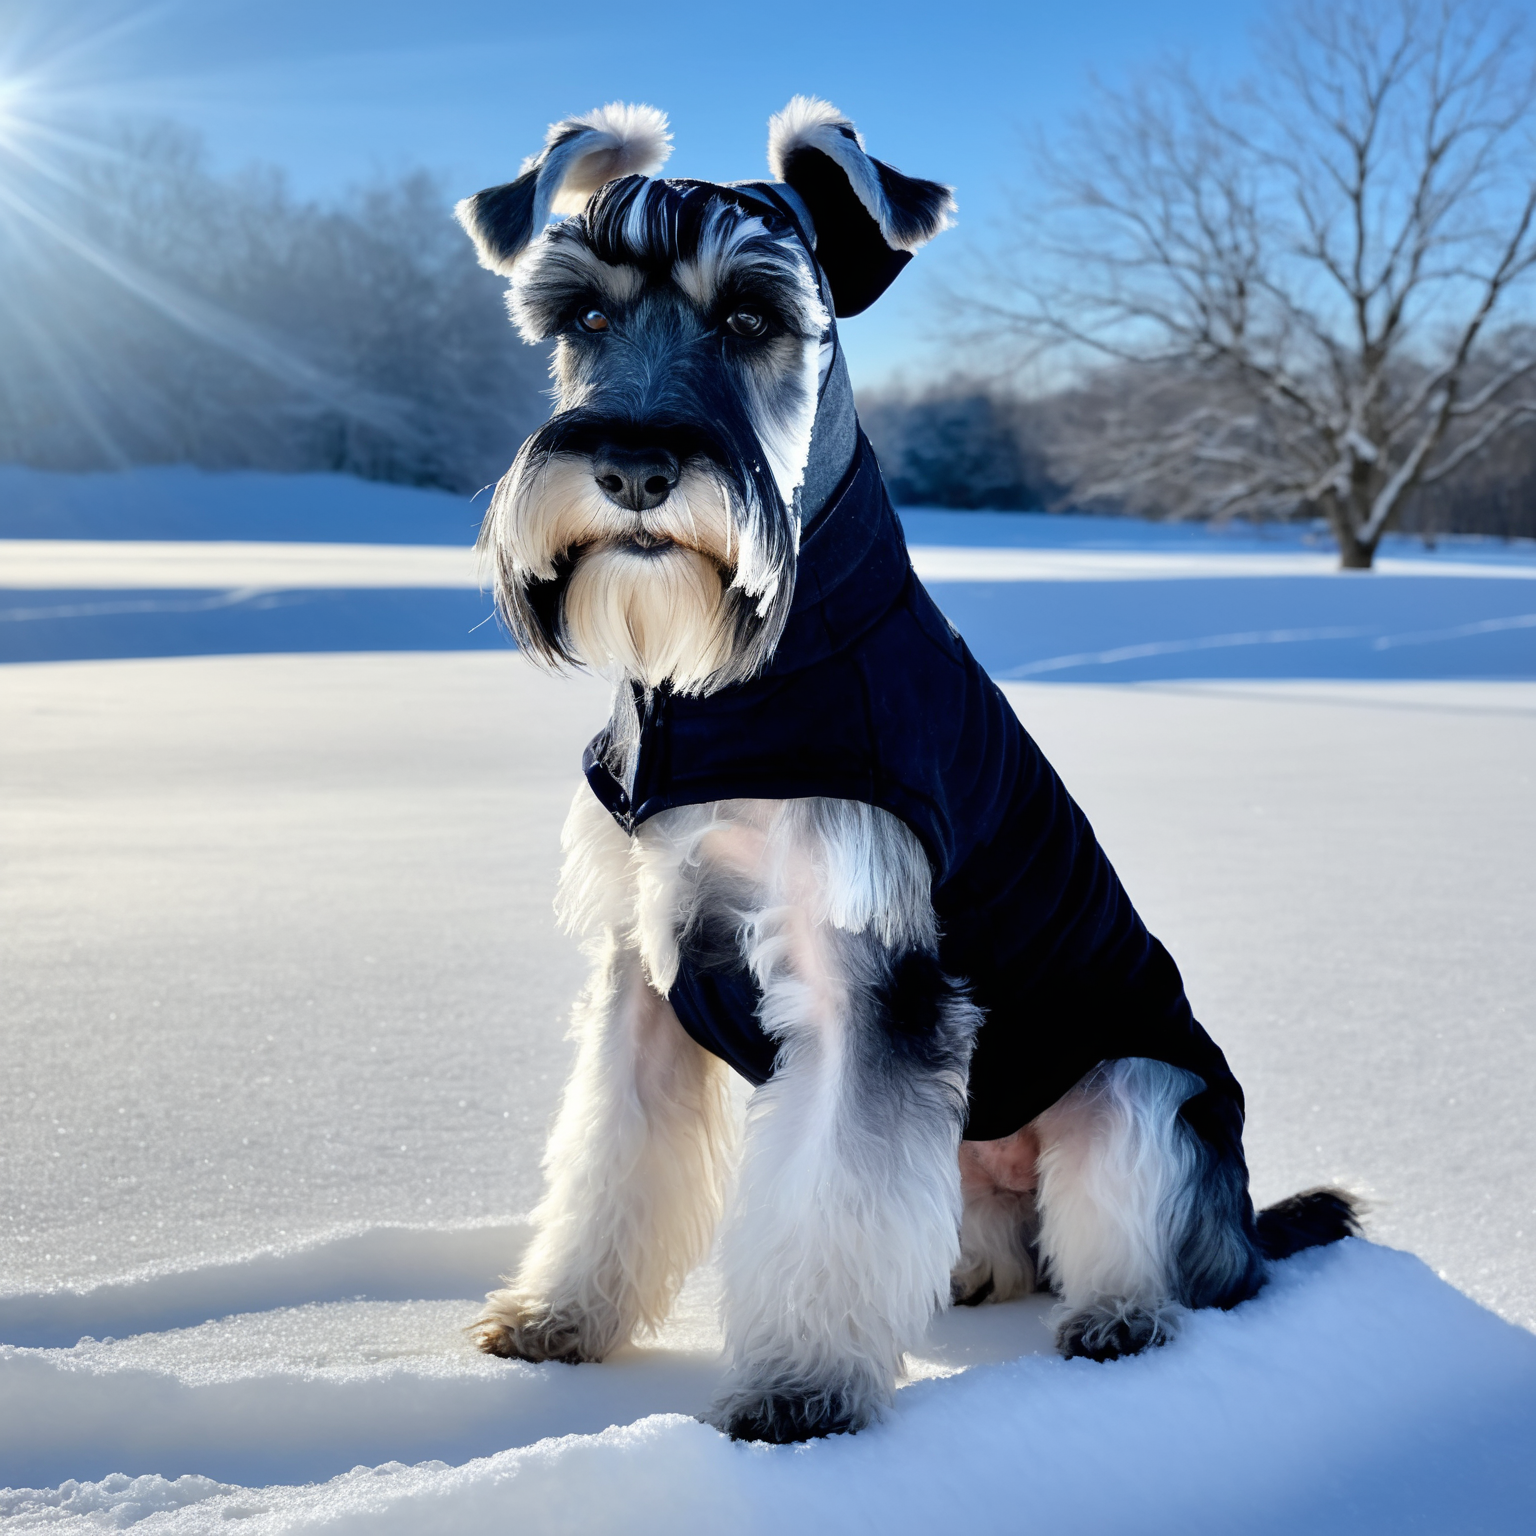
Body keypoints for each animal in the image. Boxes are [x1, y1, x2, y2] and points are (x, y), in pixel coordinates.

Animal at [454, 96, 1357, 1437]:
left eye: (753, 318)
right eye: (584, 318)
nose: (632, 469)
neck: (736, 683)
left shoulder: (870, 982)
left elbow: (834, 1198)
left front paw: (801, 1393)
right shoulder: (644, 972)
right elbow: (611, 1157)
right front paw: (563, 1316)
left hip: (1146, 1084)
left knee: (1153, 1246)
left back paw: (1121, 1318)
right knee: (990, 1236)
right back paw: (975, 1277)